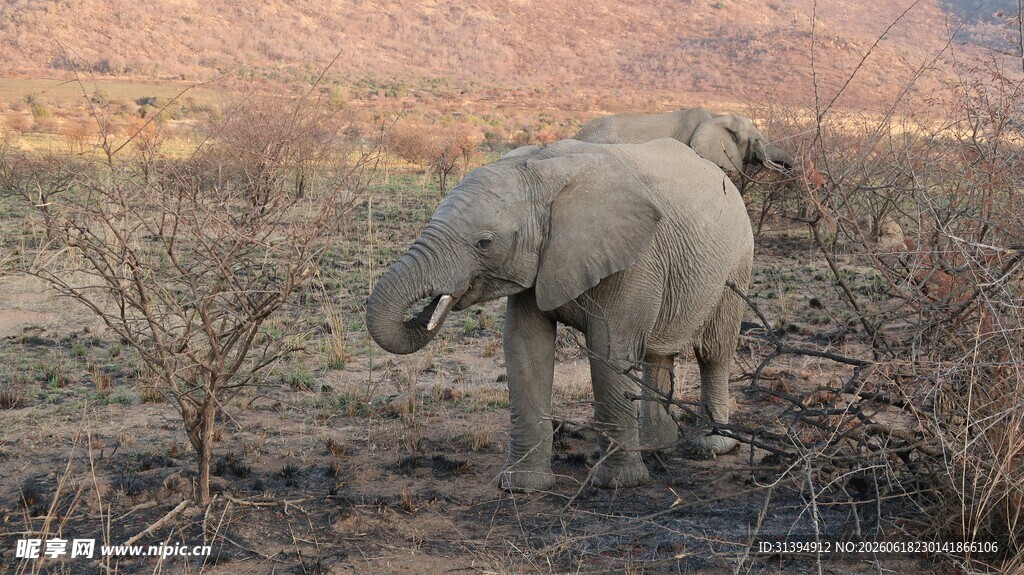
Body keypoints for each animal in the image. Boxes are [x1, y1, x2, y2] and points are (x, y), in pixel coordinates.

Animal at [366, 138, 753, 492]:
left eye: (484, 243)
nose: (432, 304)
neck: (542, 170)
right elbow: (525, 348)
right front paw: (521, 486)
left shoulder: (635, 260)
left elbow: (610, 351)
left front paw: (618, 484)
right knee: (658, 353)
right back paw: (656, 445)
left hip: (736, 262)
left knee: (714, 352)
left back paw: (711, 446)